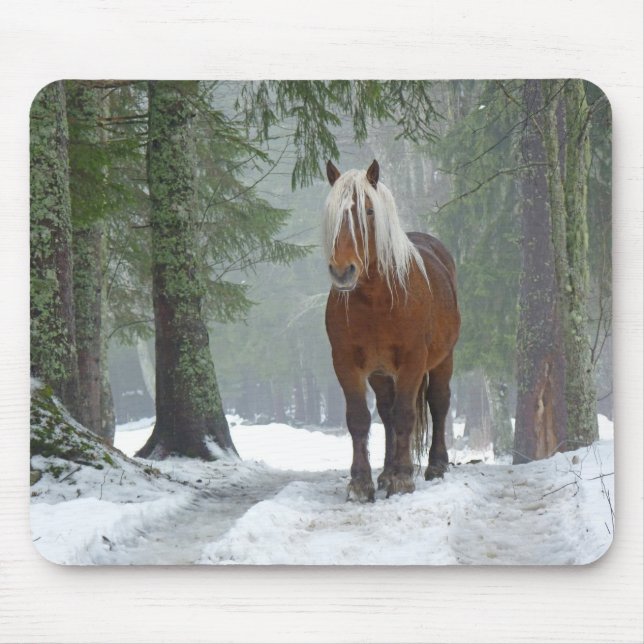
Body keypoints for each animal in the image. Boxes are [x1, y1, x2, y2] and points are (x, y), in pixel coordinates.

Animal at [323, 160, 460, 502]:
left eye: (369, 211)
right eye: (332, 213)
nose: (343, 270)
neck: (377, 300)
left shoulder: (413, 361)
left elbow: (405, 415)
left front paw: (402, 478)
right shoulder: (346, 363)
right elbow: (360, 419)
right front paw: (362, 483)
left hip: (443, 359)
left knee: (438, 403)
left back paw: (435, 465)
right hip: (381, 372)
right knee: (385, 413)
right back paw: (385, 473)